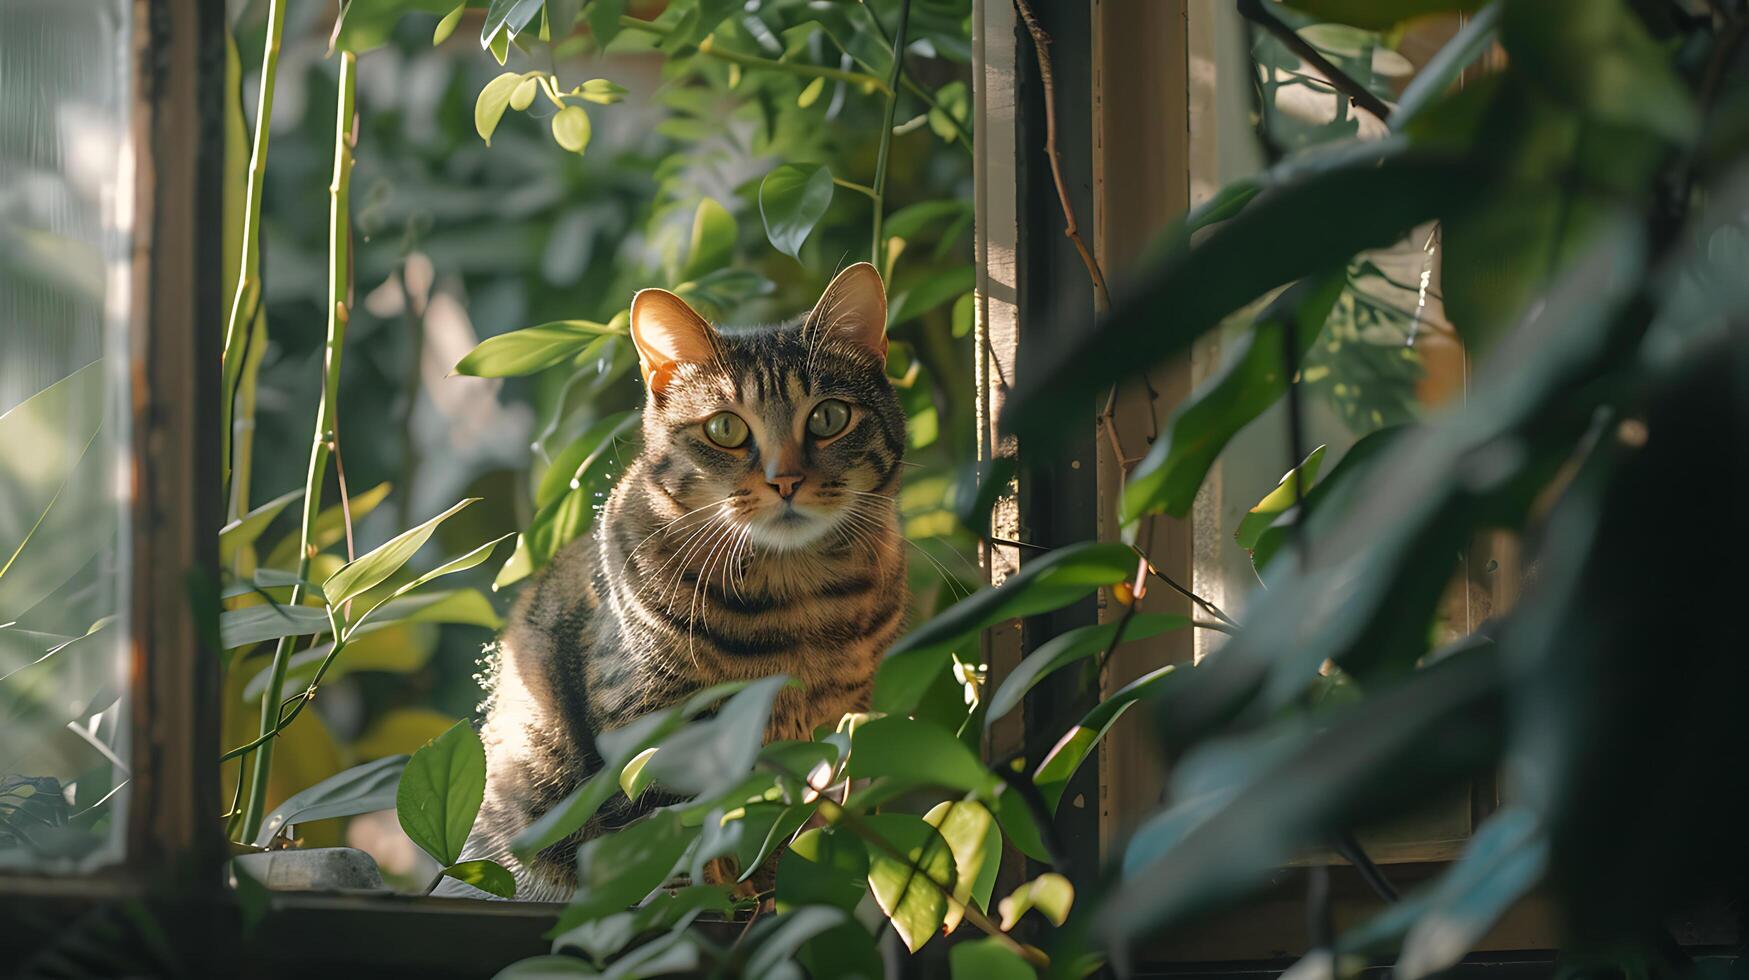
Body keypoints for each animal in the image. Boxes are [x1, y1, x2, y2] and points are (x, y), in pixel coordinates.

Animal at [454, 264, 902, 903]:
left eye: (828, 417)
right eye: (725, 428)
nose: (785, 480)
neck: (797, 596)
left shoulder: (832, 727)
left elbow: (788, 833)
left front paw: (772, 899)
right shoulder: (645, 728)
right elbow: (667, 832)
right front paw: (698, 902)